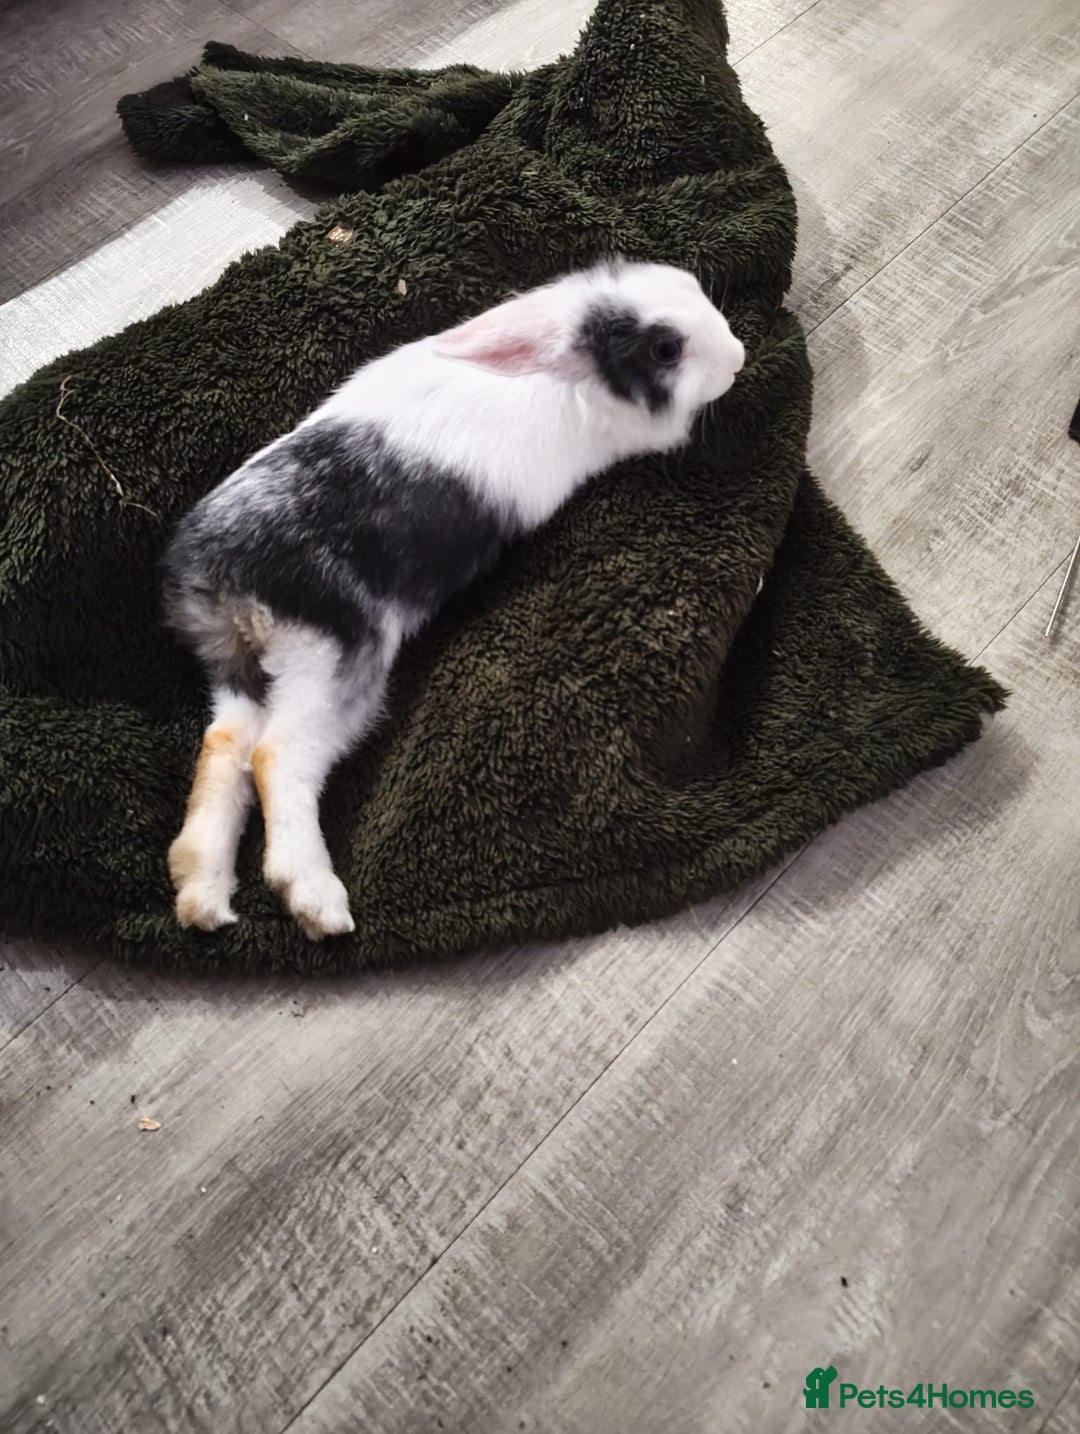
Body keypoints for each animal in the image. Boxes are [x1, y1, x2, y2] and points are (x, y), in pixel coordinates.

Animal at [162, 260, 745, 940]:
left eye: (687, 283)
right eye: (665, 350)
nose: (737, 356)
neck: (572, 378)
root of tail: (222, 578)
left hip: (244, 677)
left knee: (225, 749)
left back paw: (202, 897)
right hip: (331, 664)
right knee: (275, 756)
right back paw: (316, 900)